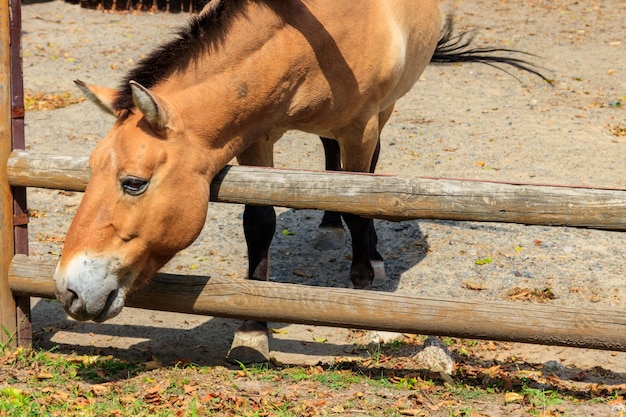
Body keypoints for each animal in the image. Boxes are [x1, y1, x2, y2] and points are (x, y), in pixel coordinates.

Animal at [53, 0, 544, 360]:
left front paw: (364, 286)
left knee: (368, 174)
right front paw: (252, 329)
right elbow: (259, 223)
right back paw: (328, 225)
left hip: (384, 112)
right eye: (91, 170)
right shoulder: (257, 136)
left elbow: (361, 202)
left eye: (133, 183)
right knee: (329, 160)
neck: (310, 39)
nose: (68, 290)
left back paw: (371, 252)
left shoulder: (361, 128)